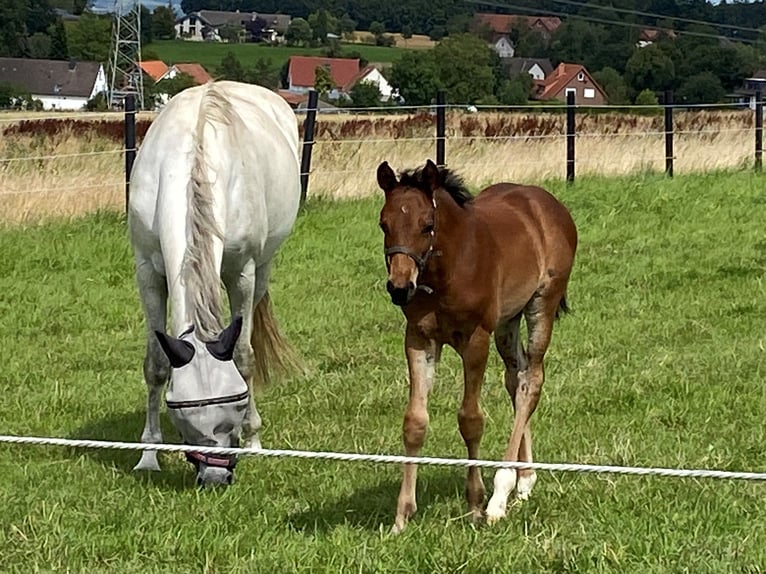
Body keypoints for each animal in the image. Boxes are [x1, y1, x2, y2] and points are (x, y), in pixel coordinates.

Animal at [130, 80, 302, 486]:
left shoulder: (243, 275)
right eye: (180, 413)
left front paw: (253, 439)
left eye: (237, 402)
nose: (215, 476)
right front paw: (148, 455)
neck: (193, 162)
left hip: (263, 268)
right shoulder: (147, 273)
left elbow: (243, 355)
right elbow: (156, 363)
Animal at [378, 159, 584, 536]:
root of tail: (546, 201)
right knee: (516, 378)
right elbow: (414, 421)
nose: (399, 288)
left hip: (541, 304)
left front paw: (475, 504)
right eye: (384, 223)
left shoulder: (475, 338)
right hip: (507, 320)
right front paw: (402, 515)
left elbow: (470, 419)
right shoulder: (418, 338)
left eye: (427, 225)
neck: (449, 270)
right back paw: (524, 479)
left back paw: (500, 495)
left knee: (532, 380)